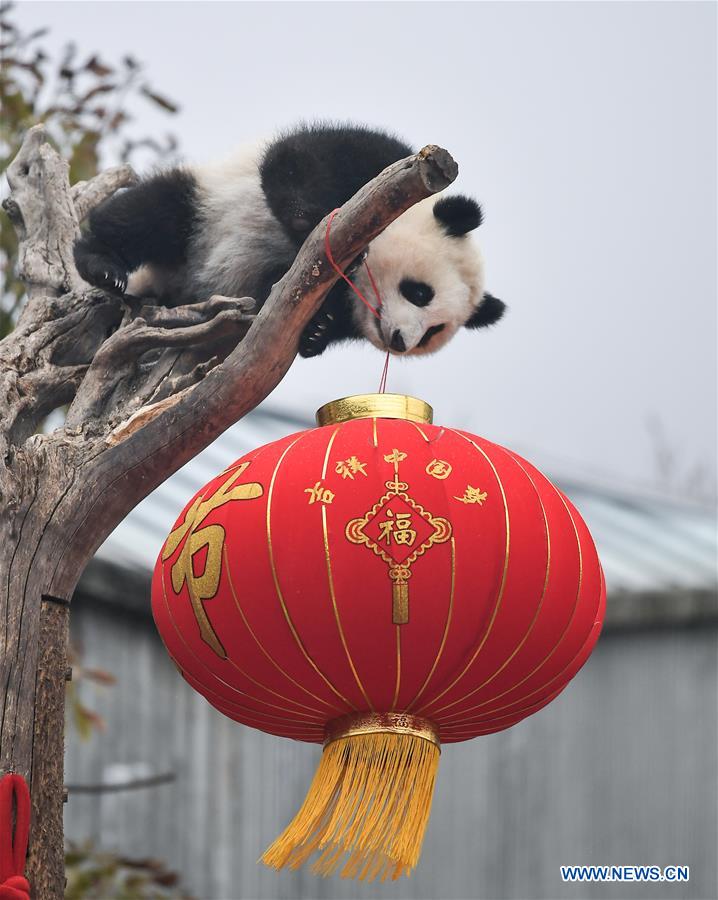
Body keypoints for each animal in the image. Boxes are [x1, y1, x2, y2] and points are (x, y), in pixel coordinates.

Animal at [74, 122, 506, 358]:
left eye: (434, 332)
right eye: (419, 293)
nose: (400, 341)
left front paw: (317, 331)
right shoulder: (379, 161)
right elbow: (292, 162)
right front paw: (315, 222)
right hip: (201, 211)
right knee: (151, 213)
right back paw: (102, 265)